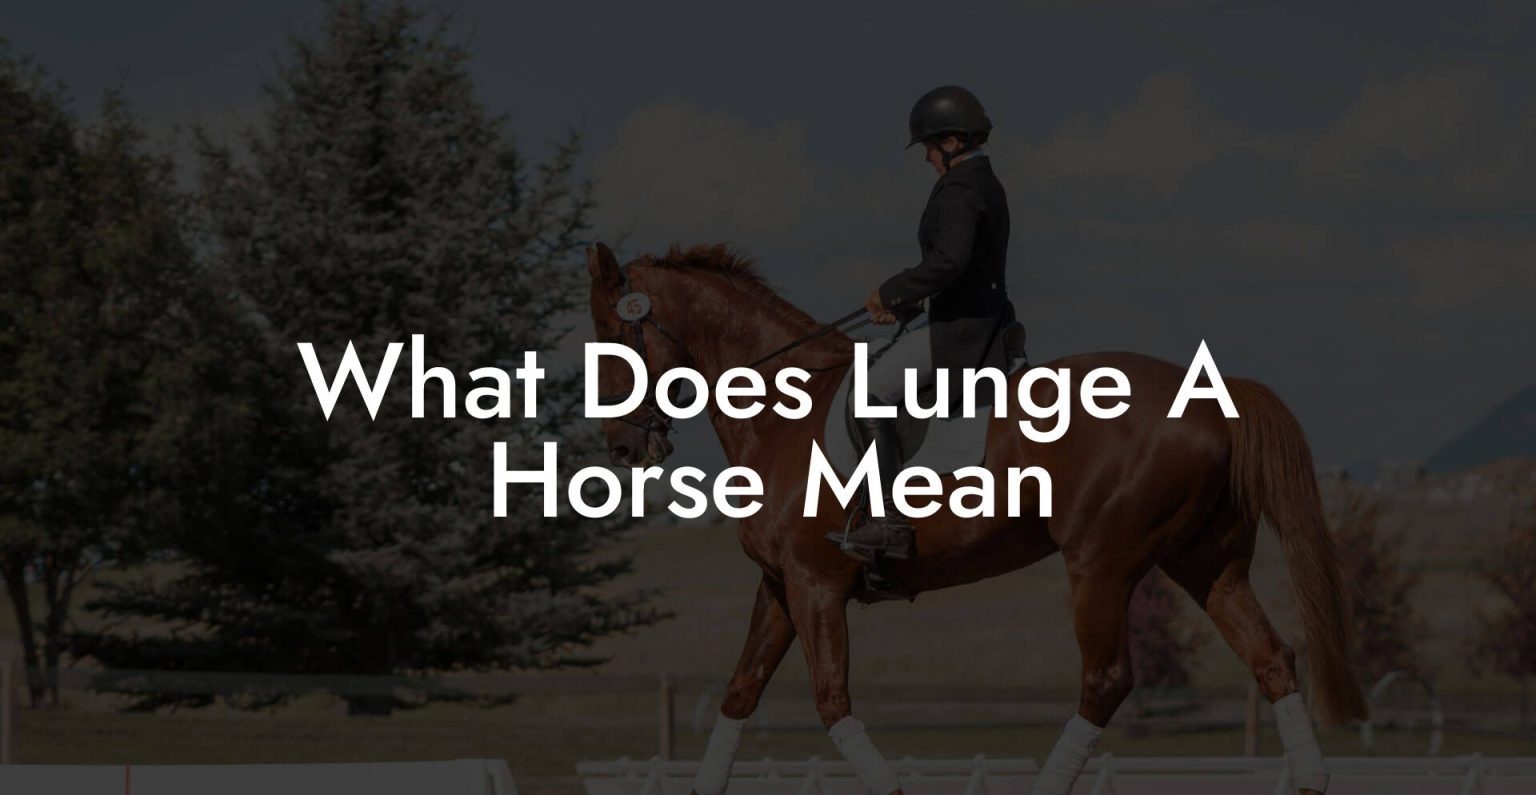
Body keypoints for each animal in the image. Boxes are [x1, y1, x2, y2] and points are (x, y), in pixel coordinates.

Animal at [584, 242, 1366, 795]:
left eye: (612, 338)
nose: (621, 447)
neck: (782, 406)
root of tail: (1212, 396)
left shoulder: (816, 587)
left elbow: (832, 702)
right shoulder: (781, 586)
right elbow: (741, 691)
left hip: (1101, 563)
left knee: (1106, 680)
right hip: (1207, 561)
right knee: (1271, 657)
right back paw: (1310, 779)